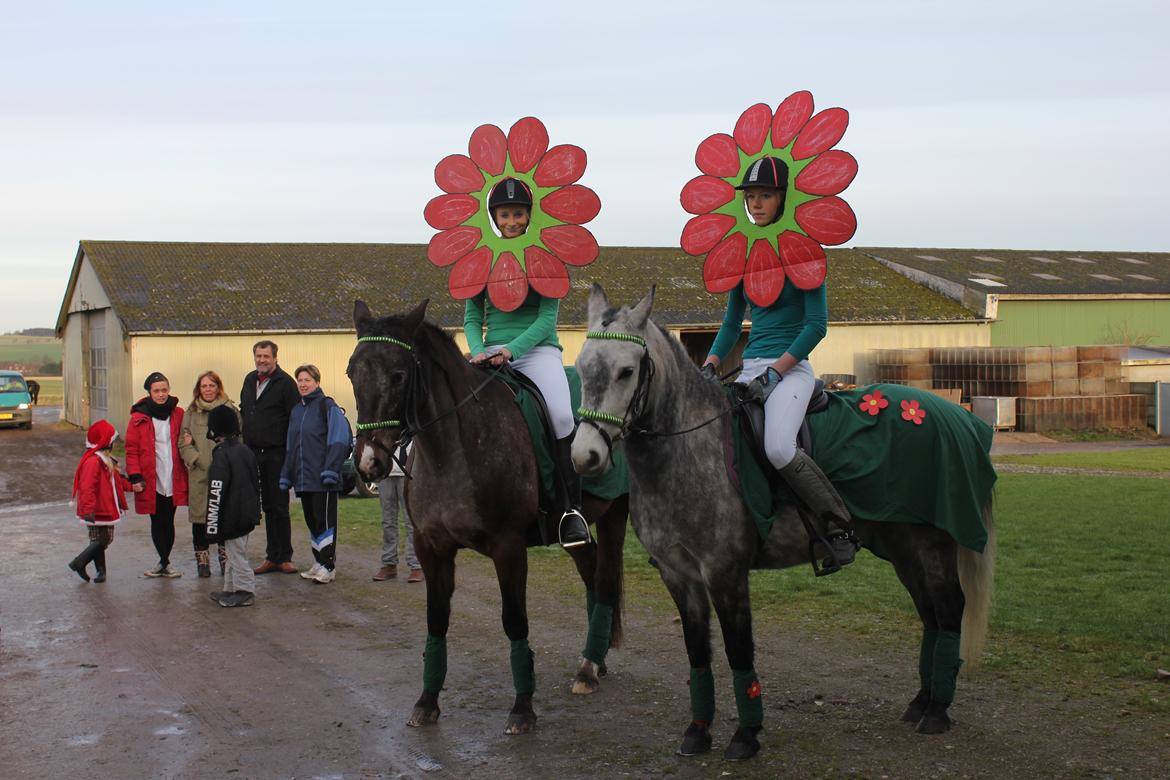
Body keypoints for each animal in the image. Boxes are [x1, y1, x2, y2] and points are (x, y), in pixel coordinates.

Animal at [343, 299, 631, 734]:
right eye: (351, 372)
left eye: (398, 375)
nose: (368, 463)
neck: (452, 450)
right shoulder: (431, 547)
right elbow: (436, 620)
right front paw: (427, 702)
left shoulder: (508, 546)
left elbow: (514, 620)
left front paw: (523, 707)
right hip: (575, 530)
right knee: (591, 572)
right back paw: (592, 661)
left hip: (617, 512)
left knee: (606, 580)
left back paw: (588, 669)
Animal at [570, 284, 992, 757]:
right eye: (582, 370)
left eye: (626, 371)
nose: (585, 457)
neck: (687, 450)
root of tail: (957, 417)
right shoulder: (679, 575)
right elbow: (697, 653)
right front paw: (698, 731)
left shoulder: (725, 573)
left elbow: (739, 650)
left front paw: (746, 735)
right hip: (904, 548)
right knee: (931, 614)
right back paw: (921, 701)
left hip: (932, 544)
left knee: (949, 609)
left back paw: (936, 711)